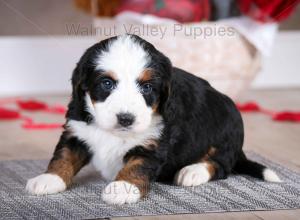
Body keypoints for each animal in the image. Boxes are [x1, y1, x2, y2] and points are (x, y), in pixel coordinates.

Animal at [25, 34, 282, 205]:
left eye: (147, 87)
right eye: (106, 83)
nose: (126, 118)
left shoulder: (154, 143)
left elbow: (137, 165)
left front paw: (123, 187)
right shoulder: (77, 130)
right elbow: (64, 155)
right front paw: (48, 178)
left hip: (226, 131)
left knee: (220, 165)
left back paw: (192, 172)